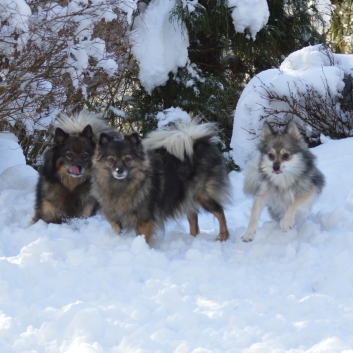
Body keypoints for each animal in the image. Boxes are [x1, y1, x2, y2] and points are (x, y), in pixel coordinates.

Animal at [91, 119, 231, 243]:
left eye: (127, 159)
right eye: (111, 160)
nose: (119, 171)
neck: (122, 186)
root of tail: (197, 143)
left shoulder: (144, 218)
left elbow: (143, 236)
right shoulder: (111, 208)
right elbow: (110, 218)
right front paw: (117, 228)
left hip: (202, 195)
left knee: (220, 211)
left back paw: (223, 235)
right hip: (185, 196)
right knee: (193, 219)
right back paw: (192, 238)